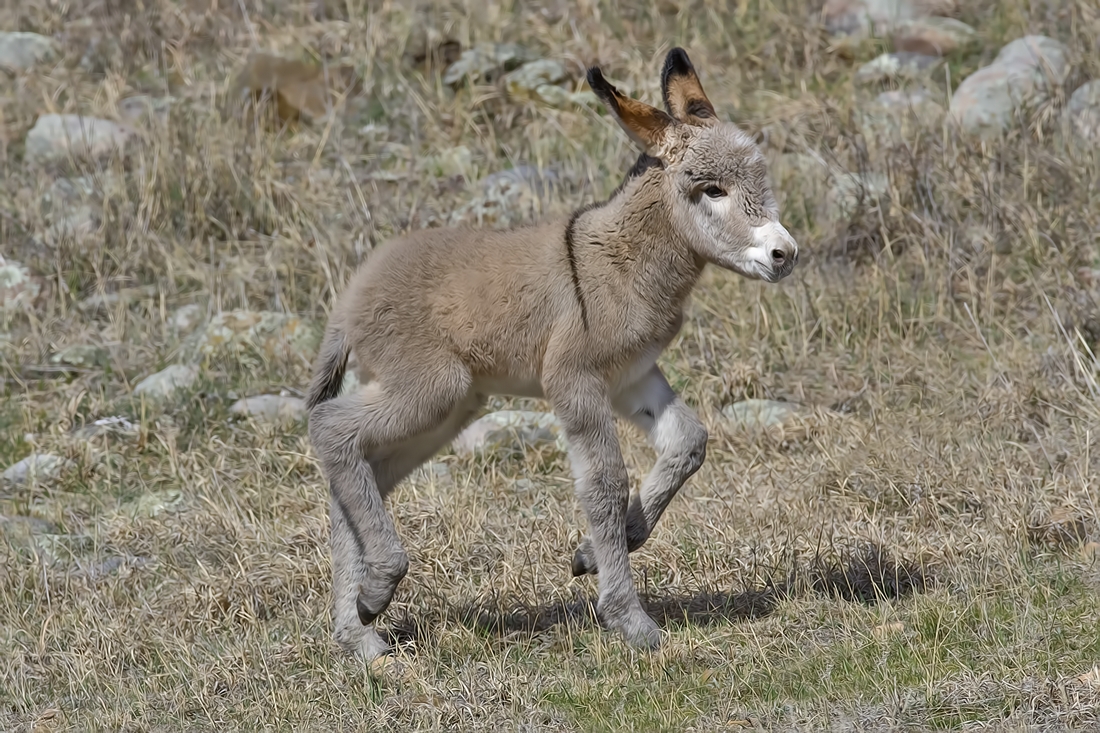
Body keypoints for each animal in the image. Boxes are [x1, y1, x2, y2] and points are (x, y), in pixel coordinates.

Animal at [310, 48, 800, 660]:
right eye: (711, 190)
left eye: (761, 177)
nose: (785, 254)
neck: (624, 258)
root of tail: (348, 298)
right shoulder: (575, 379)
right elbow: (604, 484)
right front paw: (629, 620)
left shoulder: (632, 376)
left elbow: (688, 442)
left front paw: (609, 546)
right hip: (430, 388)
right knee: (331, 430)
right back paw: (378, 588)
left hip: (449, 409)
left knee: (360, 470)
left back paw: (358, 630)